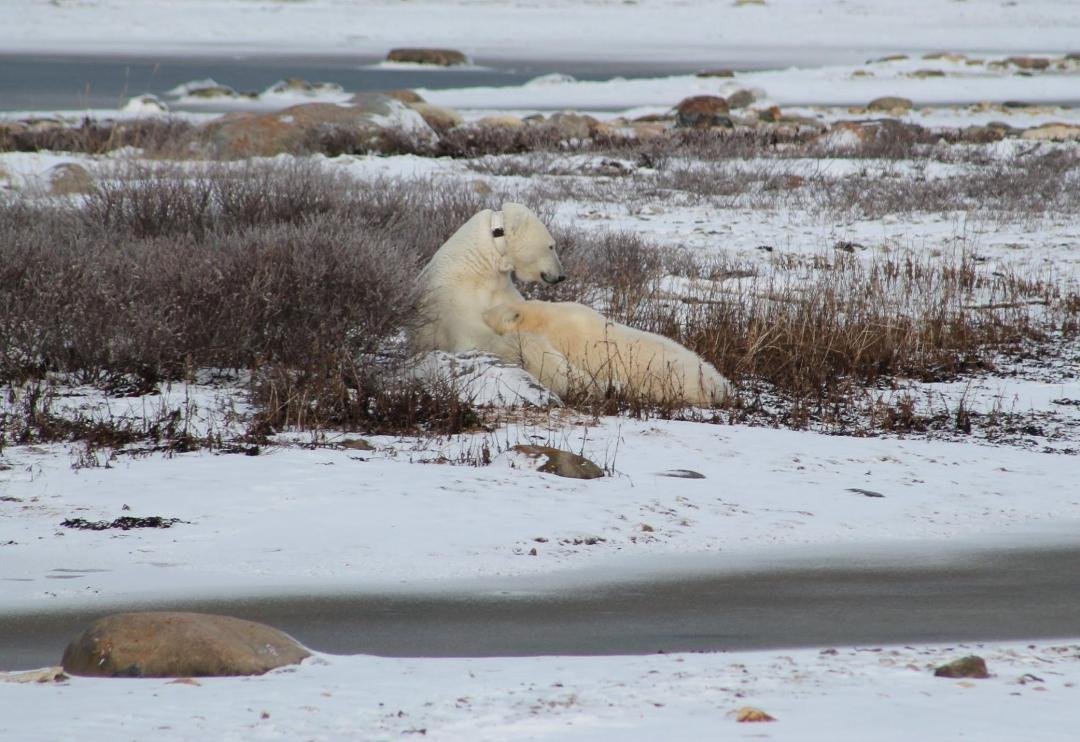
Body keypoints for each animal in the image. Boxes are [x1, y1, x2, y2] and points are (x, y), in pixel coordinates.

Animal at [411, 203, 568, 366]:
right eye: (551, 246)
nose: (561, 276)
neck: (480, 262)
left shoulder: (501, 286)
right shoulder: (454, 296)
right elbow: (473, 334)